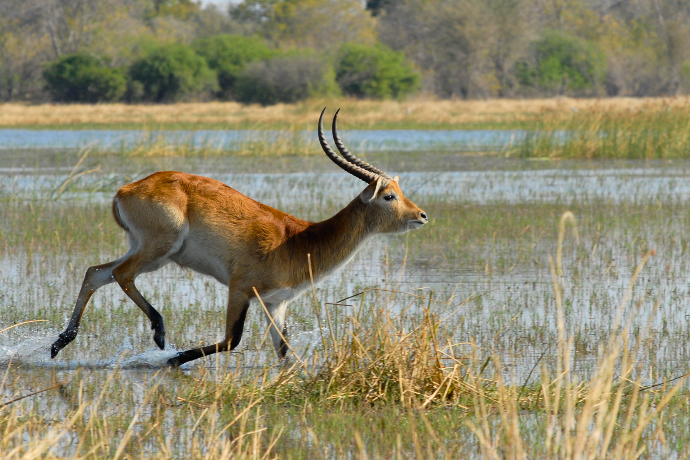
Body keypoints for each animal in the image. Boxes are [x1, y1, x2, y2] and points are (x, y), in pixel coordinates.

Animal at [50, 108, 428, 367]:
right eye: (388, 196)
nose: (422, 215)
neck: (301, 240)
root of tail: (125, 189)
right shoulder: (240, 288)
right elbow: (232, 339)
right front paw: (174, 358)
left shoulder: (276, 303)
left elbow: (284, 351)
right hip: (160, 250)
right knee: (120, 273)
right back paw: (159, 334)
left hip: (146, 249)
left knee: (96, 272)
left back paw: (59, 343)